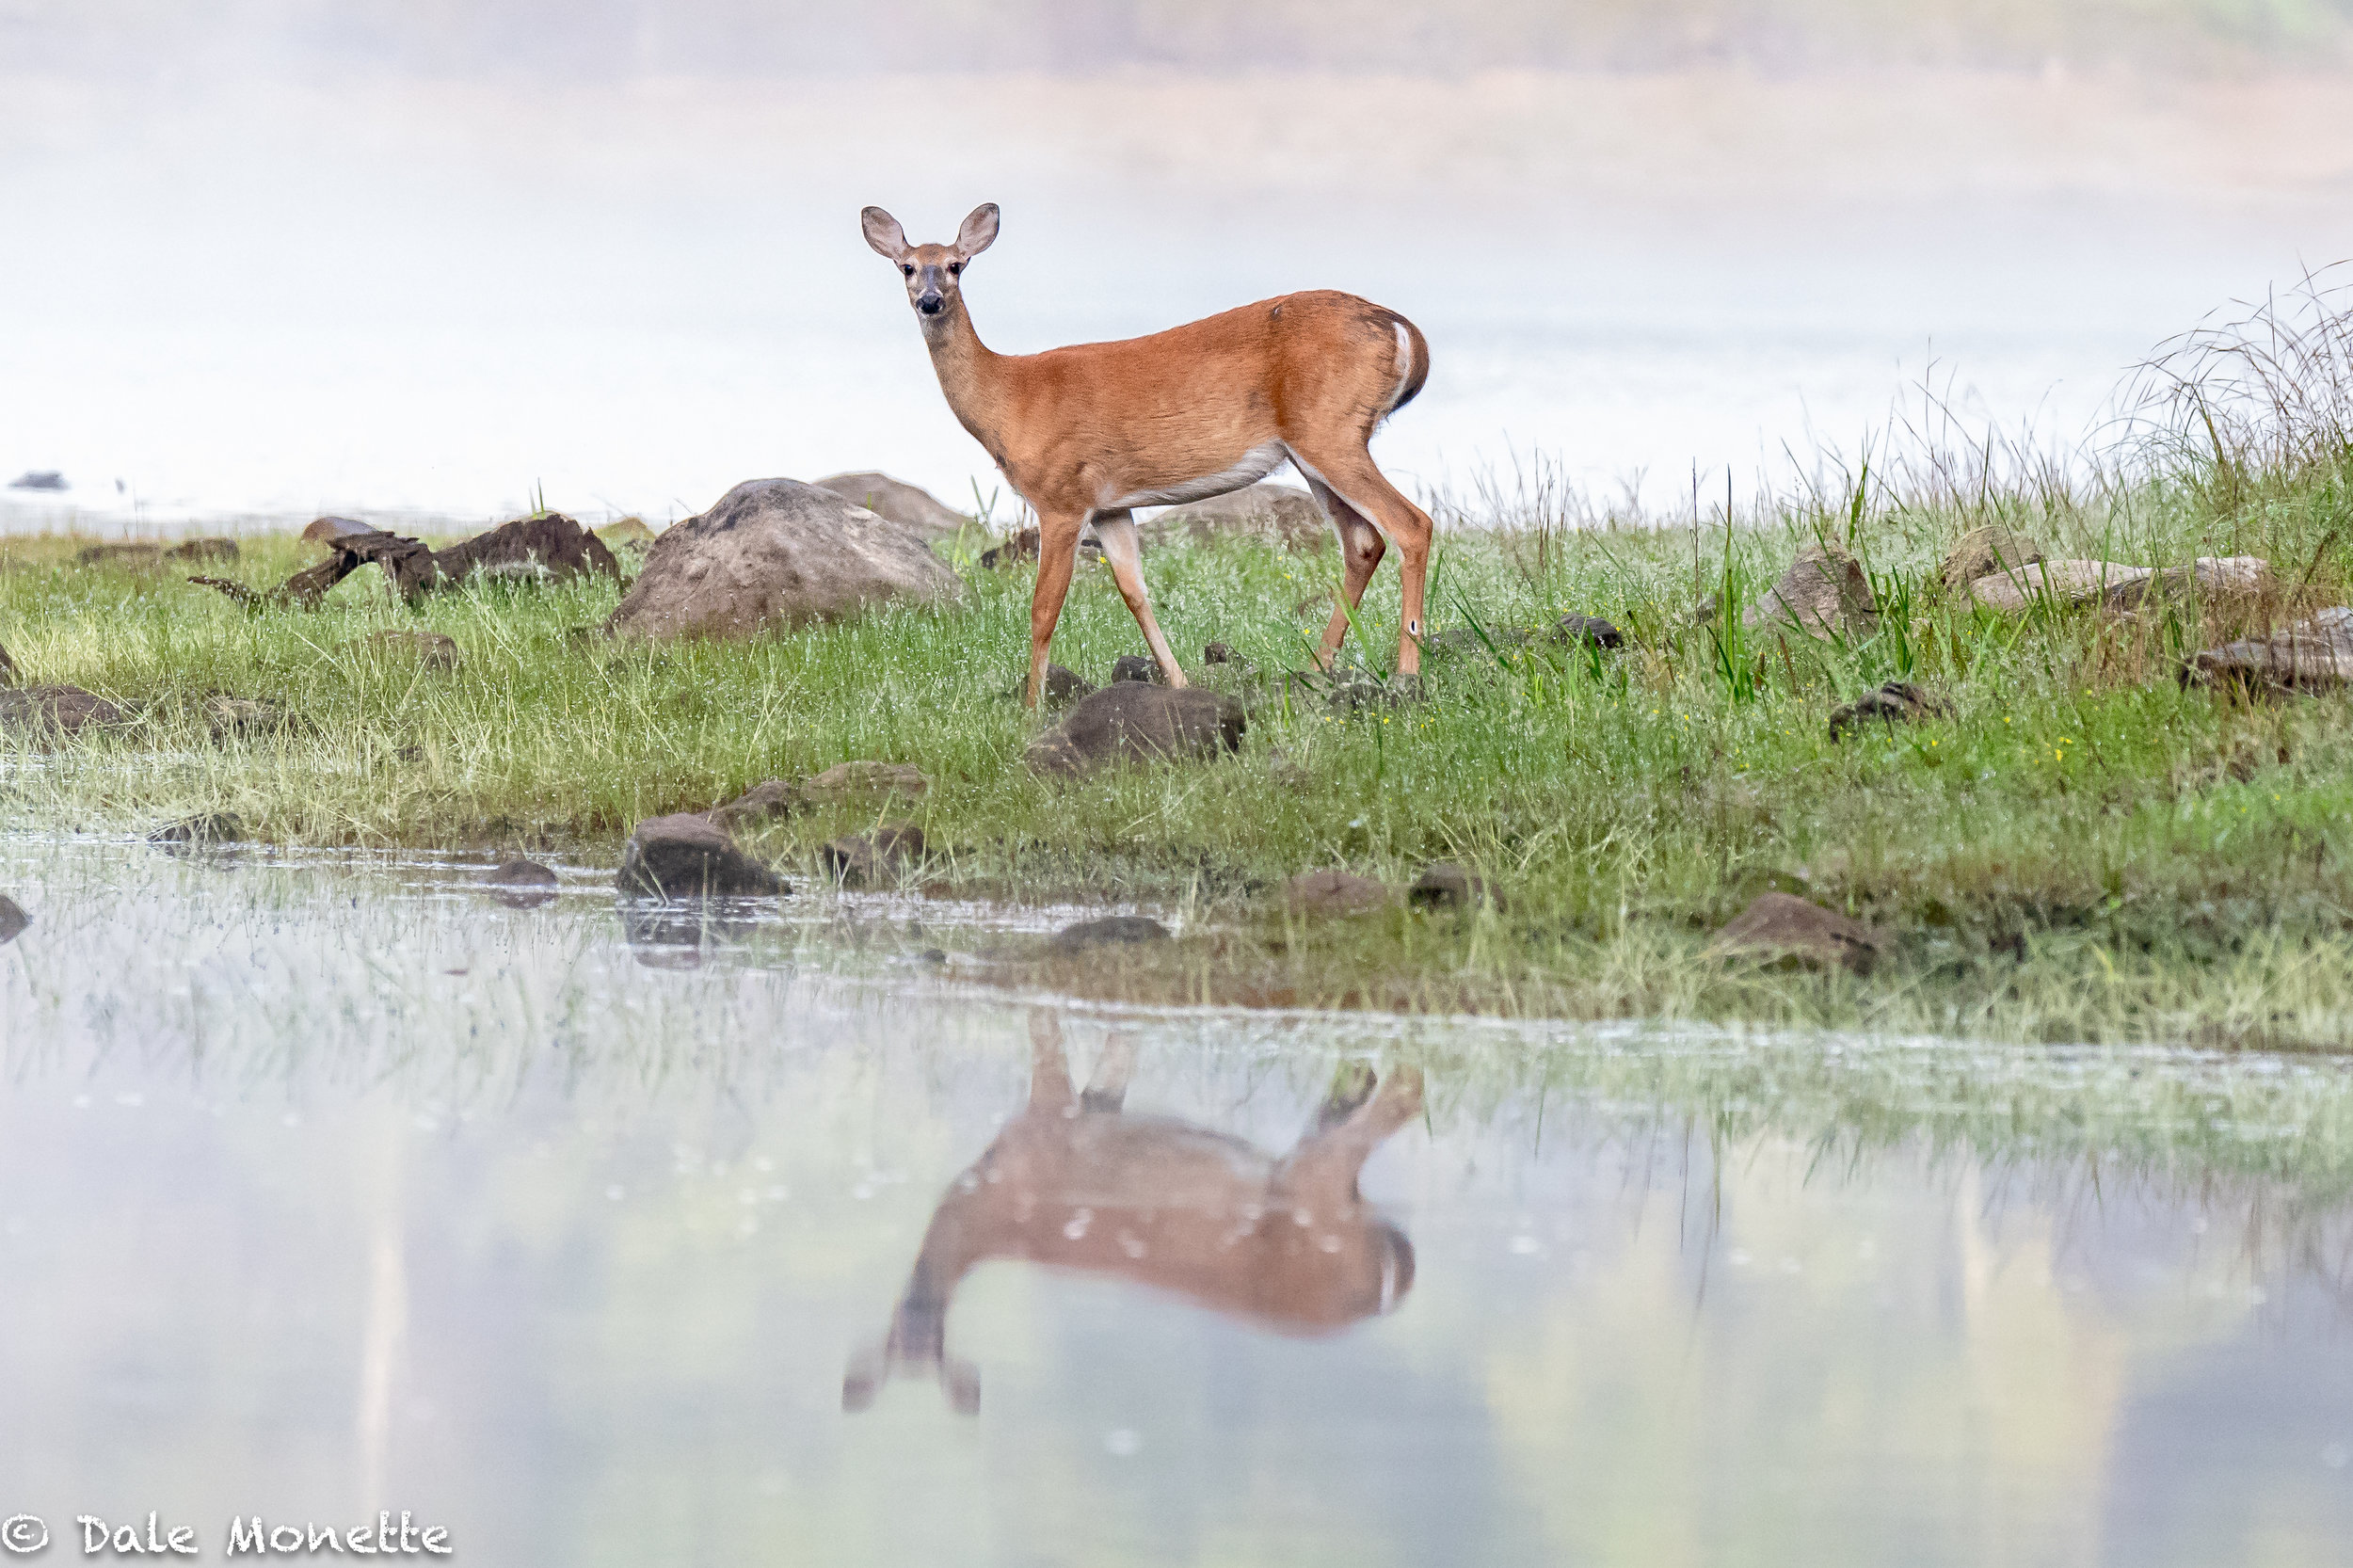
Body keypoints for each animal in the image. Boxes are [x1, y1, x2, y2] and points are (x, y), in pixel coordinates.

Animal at [856, 204, 1421, 706]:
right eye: (908, 266)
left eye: (956, 264)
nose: (930, 300)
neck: (1012, 397)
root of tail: (1404, 330)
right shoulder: (1111, 506)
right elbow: (1135, 592)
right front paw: (1179, 683)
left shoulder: (1062, 496)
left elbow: (1044, 610)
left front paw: (1030, 709)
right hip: (1313, 452)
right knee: (1364, 542)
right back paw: (1316, 670)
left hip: (1331, 433)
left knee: (1411, 525)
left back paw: (1406, 672)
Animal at [856, 1007, 1421, 1412]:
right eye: (897, 1340)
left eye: (930, 1345)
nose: (916, 1313)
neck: (985, 1198)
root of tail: (1378, 1296)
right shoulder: (1094, 1107)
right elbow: (1115, 1062)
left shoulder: (1048, 1117)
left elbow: (1045, 1035)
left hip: (1312, 1191)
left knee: (1404, 1099)